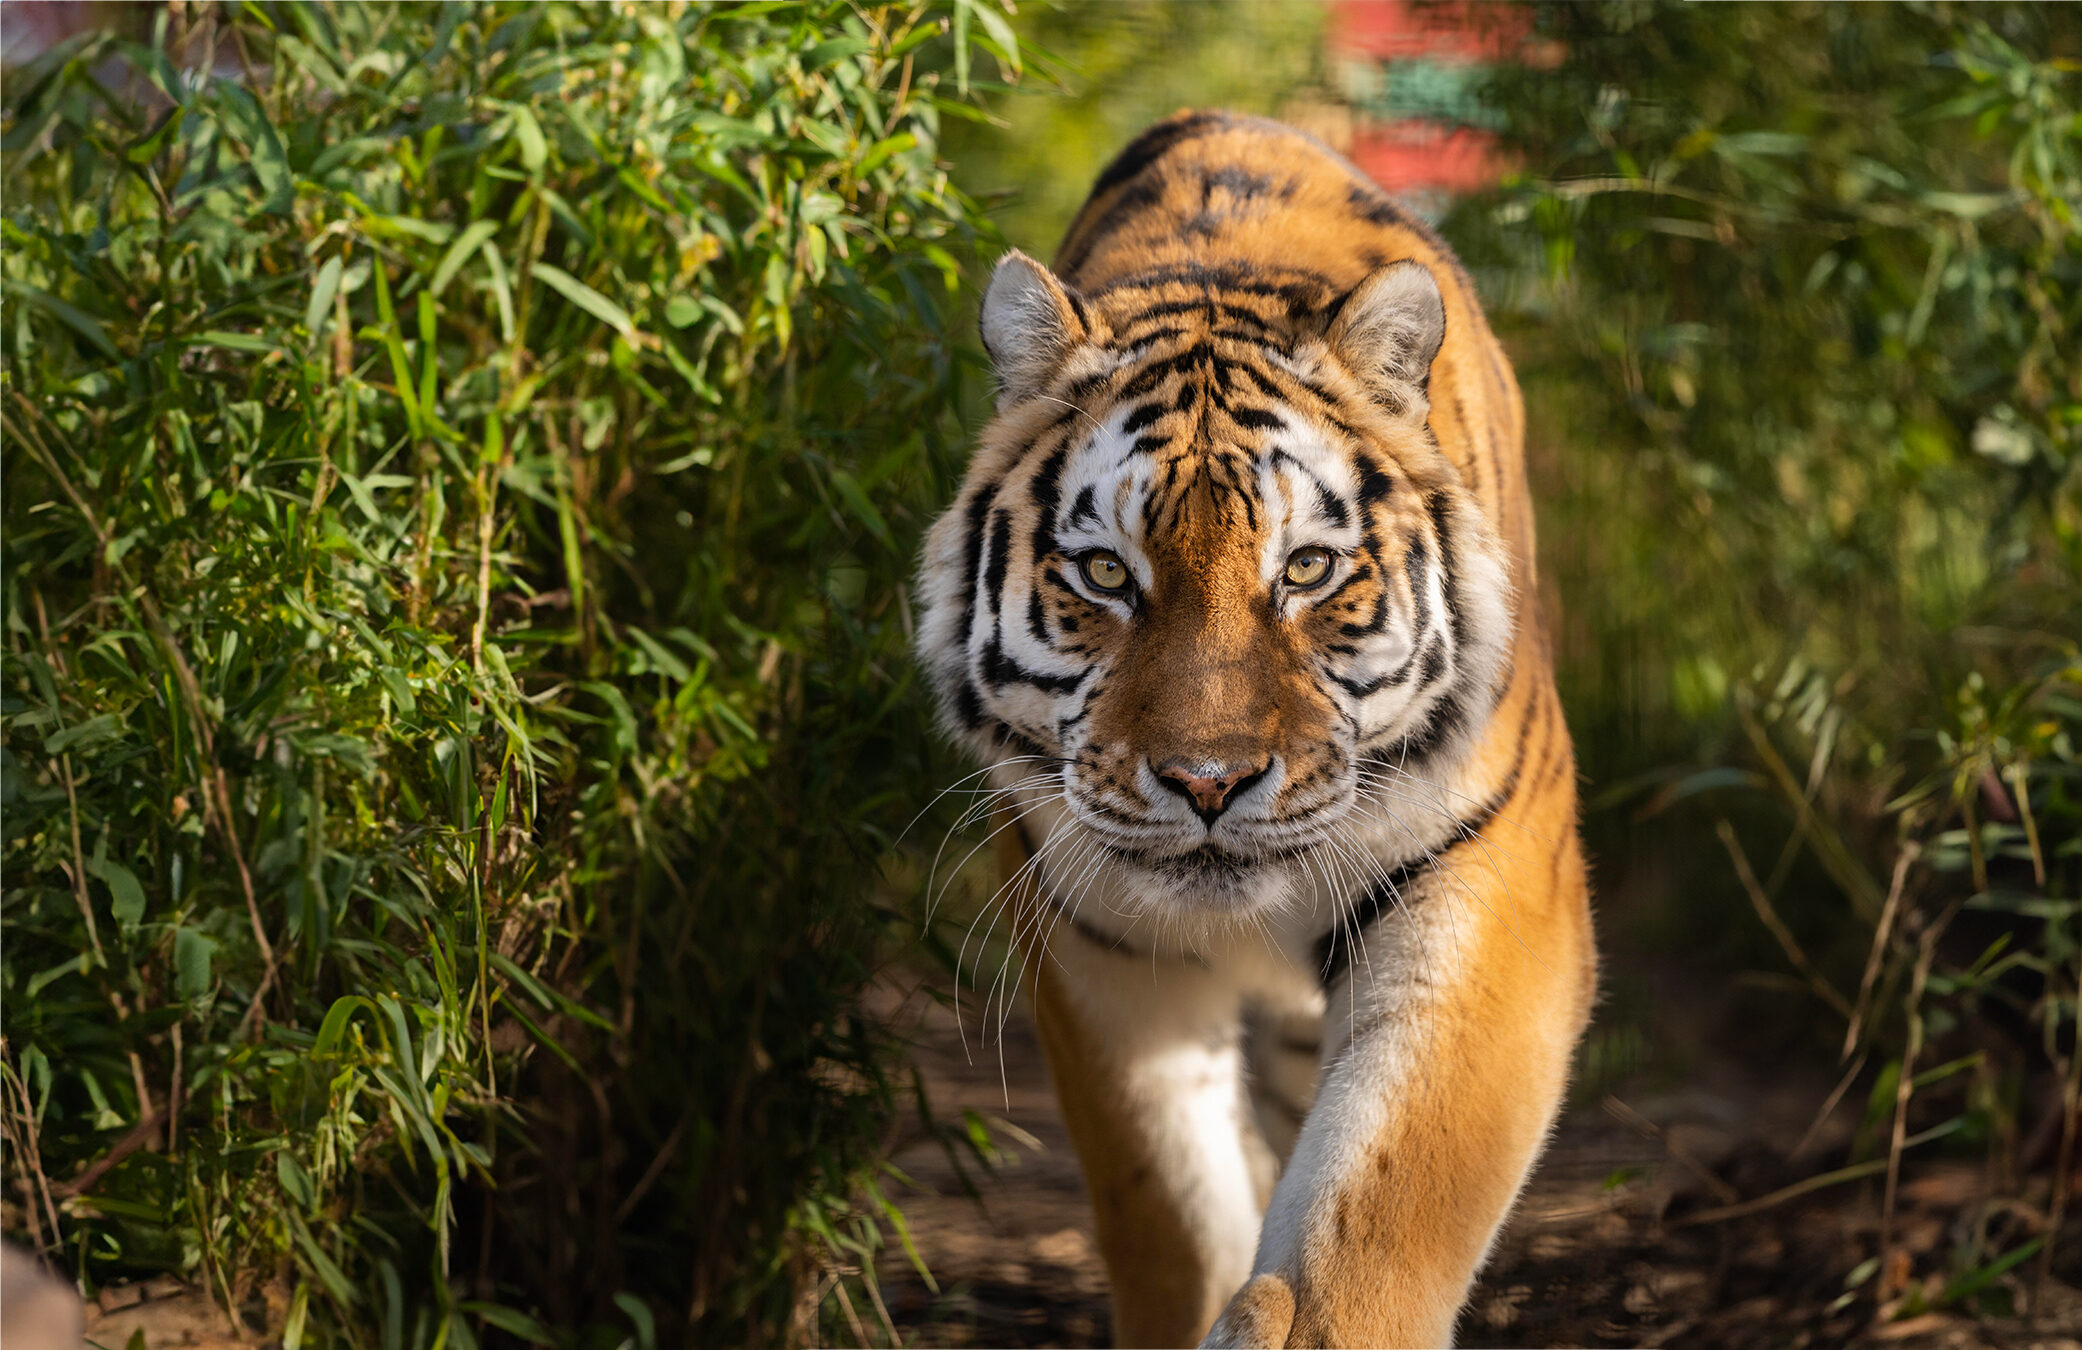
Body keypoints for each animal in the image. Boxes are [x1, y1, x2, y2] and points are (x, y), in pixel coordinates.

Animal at [920, 110, 1598, 1341]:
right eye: (1106, 574)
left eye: (1309, 570)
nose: (1207, 781)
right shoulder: (1099, 955)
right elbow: (1172, 1212)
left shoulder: (1493, 875)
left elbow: (1381, 1202)